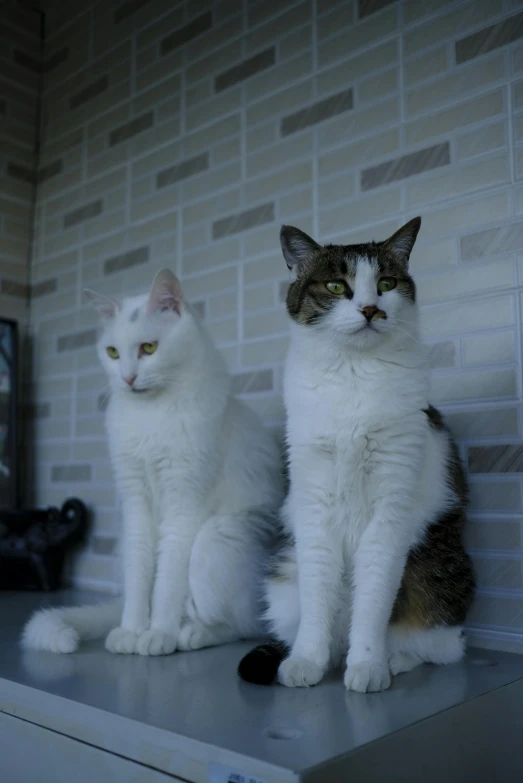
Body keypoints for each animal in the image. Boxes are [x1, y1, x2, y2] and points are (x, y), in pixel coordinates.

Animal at [23, 270, 286, 656]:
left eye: (149, 348)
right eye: (112, 352)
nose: (128, 378)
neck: (150, 416)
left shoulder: (183, 506)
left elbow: (167, 584)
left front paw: (158, 634)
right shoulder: (135, 503)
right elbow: (140, 578)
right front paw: (131, 631)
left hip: (215, 542)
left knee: (243, 625)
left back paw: (189, 634)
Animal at [239, 219, 476, 692]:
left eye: (386, 284)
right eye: (336, 285)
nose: (370, 309)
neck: (354, 373)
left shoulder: (391, 507)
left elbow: (373, 597)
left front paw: (367, 665)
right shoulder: (313, 502)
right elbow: (318, 594)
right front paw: (306, 661)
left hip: (435, 571)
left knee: (439, 646)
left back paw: (394, 659)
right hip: (285, 578)